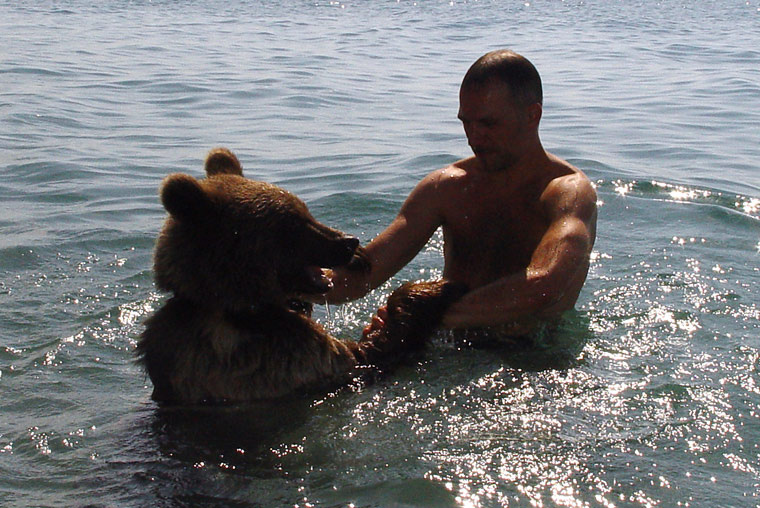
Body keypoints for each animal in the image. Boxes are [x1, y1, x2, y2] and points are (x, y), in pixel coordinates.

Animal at [137, 148, 466, 404]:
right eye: (293, 223)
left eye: (306, 211)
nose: (349, 242)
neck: (236, 306)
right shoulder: (271, 356)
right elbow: (363, 354)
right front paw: (437, 289)